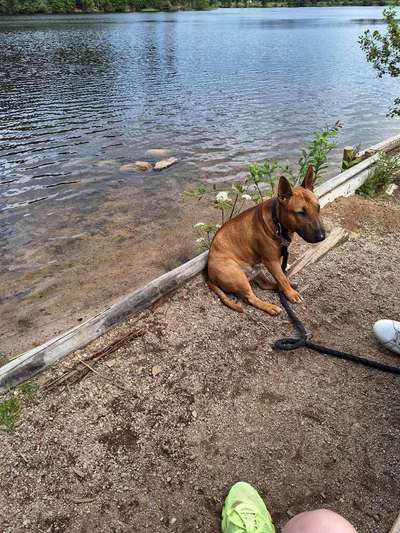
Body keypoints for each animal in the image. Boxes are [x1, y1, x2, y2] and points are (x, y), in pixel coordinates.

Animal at [208, 166, 326, 314]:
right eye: (300, 213)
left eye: (318, 207)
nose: (322, 237)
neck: (278, 223)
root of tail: (208, 273)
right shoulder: (271, 261)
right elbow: (282, 278)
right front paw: (291, 294)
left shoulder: (278, 258)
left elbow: (282, 277)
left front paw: (288, 289)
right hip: (238, 277)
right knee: (251, 298)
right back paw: (271, 307)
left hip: (256, 270)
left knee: (266, 284)